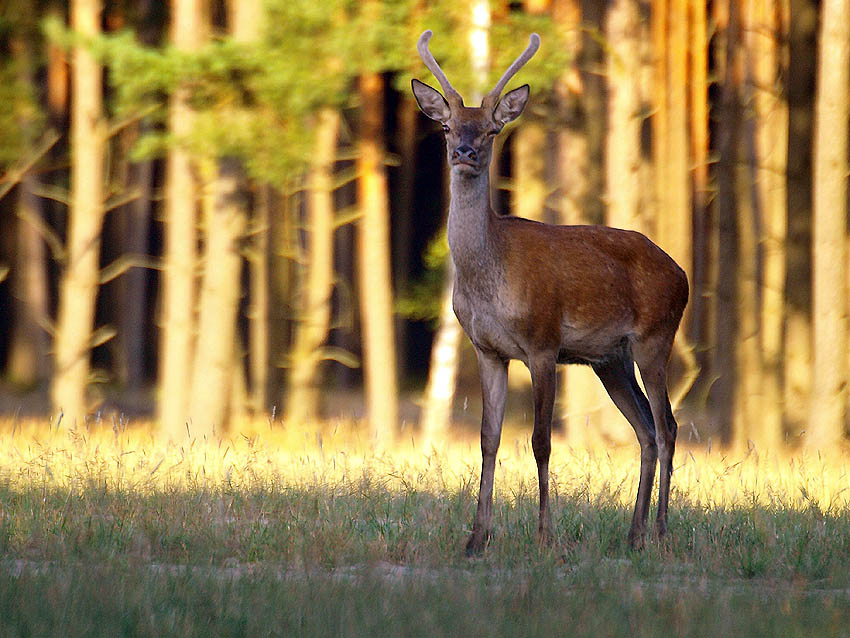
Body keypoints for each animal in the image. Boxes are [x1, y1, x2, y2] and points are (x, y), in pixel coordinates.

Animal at [410, 31, 688, 556]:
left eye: (491, 131)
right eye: (447, 127)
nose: (464, 152)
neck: (488, 280)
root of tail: (683, 274)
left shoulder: (542, 343)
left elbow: (540, 441)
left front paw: (544, 535)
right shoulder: (488, 350)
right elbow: (488, 438)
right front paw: (476, 537)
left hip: (656, 337)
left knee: (667, 426)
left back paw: (663, 532)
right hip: (610, 358)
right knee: (644, 429)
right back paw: (635, 533)